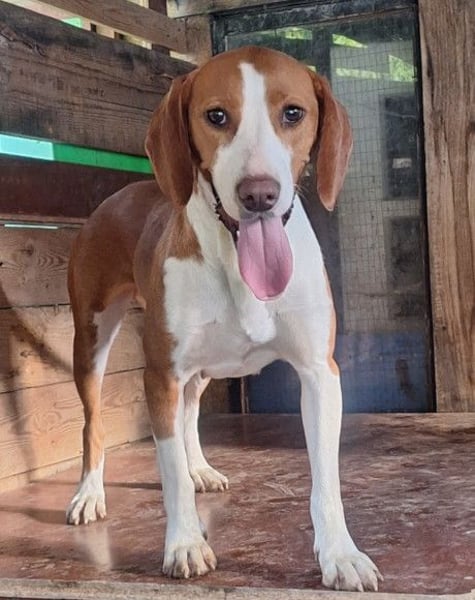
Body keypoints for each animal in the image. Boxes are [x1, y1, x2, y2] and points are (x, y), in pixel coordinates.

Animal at [66, 45, 382, 591]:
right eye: (215, 116)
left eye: (293, 113)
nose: (259, 194)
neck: (237, 261)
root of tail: (113, 199)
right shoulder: (160, 375)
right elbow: (168, 469)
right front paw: (185, 543)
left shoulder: (320, 374)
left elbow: (326, 479)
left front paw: (340, 554)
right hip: (90, 341)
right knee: (94, 422)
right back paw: (91, 493)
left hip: (199, 369)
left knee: (191, 413)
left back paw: (200, 468)